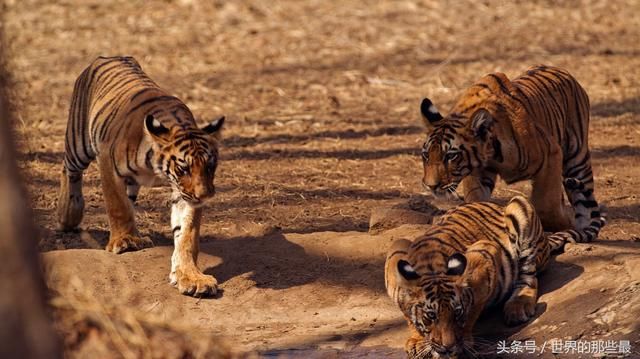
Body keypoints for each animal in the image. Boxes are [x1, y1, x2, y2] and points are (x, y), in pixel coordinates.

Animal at [56, 56, 225, 298]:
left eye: (210, 167)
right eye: (183, 169)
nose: (205, 196)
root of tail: (108, 56)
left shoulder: (183, 193)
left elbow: (187, 234)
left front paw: (191, 277)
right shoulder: (107, 162)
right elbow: (118, 207)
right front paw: (125, 241)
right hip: (79, 143)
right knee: (68, 168)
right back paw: (68, 215)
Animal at [384, 194, 604, 359]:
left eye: (457, 314)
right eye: (431, 316)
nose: (447, 347)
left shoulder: (485, 255)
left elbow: (473, 309)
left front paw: (463, 342)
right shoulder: (396, 250)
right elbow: (408, 315)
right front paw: (417, 340)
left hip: (520, 207)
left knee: (529, 278)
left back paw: (518, 306)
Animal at [420, 64, 604, 239]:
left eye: (451, 156)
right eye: (426, 155)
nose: (431, 185)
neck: (491, 154)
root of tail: (561, 70)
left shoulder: (551, 155)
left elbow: (545, 205)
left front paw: (564, 225)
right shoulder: (478, 172)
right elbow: (475, 199)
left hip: (577, 158)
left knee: (582, 198)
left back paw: (583, 228)